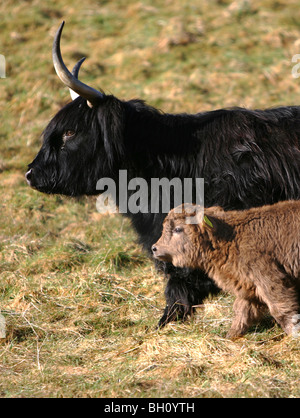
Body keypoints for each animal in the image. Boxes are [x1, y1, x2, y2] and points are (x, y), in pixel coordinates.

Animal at [152, 201, 300, 338]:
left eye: (178, 229)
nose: (154, 248)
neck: (231, 237)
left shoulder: (270, 280)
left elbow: (280, 309)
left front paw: (294, 334)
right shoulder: (247, 287)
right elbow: (242, 311)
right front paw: (230, 336)